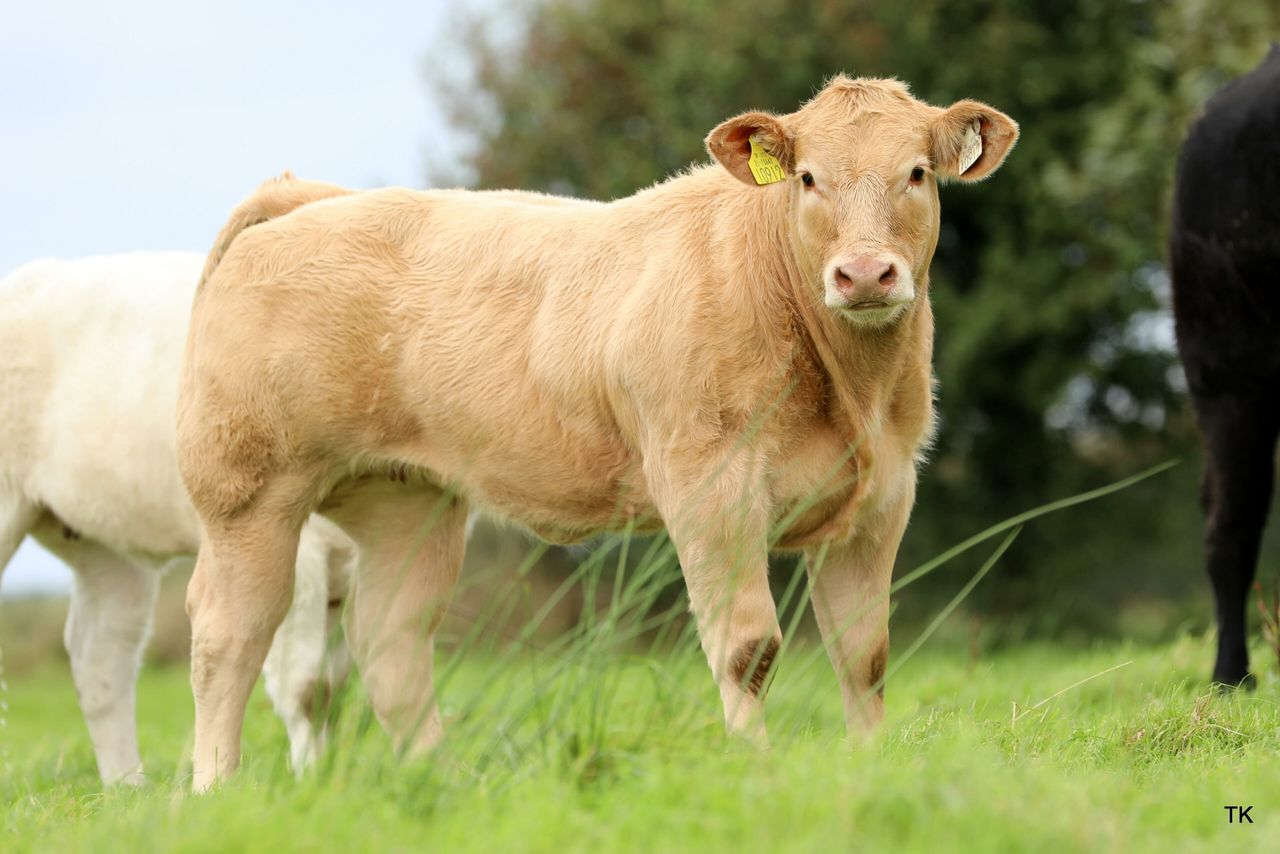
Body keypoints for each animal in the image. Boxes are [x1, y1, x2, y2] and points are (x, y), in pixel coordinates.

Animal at [0, 253, 355, 784]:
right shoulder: (298, 542)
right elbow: (309, 685)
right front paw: (312, 781)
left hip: (105, 541)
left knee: (100, 655)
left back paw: (127, 788)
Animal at [177, 75, 1018, 790]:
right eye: (808, 178)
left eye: (917, 173)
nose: (865, 274)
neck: (848, 386)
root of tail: (309, 198)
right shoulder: (711, 489)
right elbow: (747, 649)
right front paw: (754, 767)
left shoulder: (881, 500)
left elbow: (863, 654)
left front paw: (867, 765)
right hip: (249, 490)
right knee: (230, 635)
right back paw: (217, 789)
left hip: (407, 500)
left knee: (391, 645)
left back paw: (442, 785)